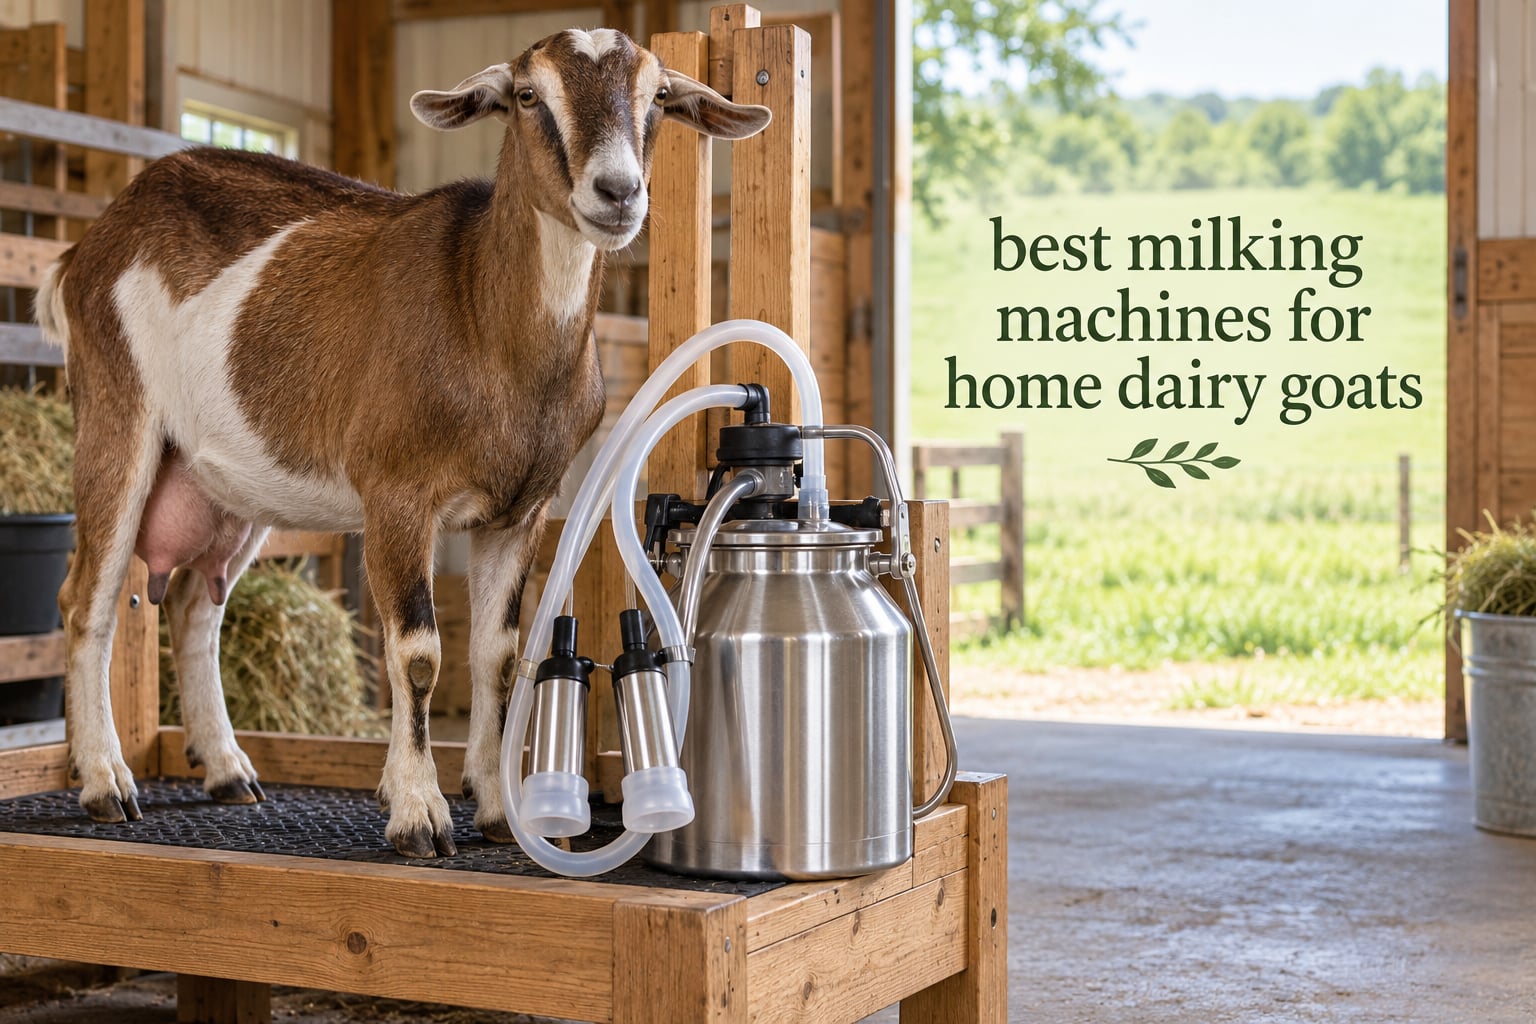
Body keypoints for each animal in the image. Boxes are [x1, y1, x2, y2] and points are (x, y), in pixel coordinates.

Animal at [37, 28, 769, 858]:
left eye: (657, 99)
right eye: (527, 96)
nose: (617, 192)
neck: (480, 313)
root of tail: (87, 248)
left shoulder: (519, 510)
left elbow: (498, 654)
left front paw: (496, 810)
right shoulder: (396, 493)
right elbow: (418, 654)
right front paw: (419, 814)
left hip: (225, 480)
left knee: (196, 604)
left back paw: (228, 770)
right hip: (116, 413)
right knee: (87, 599)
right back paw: (105, 782)